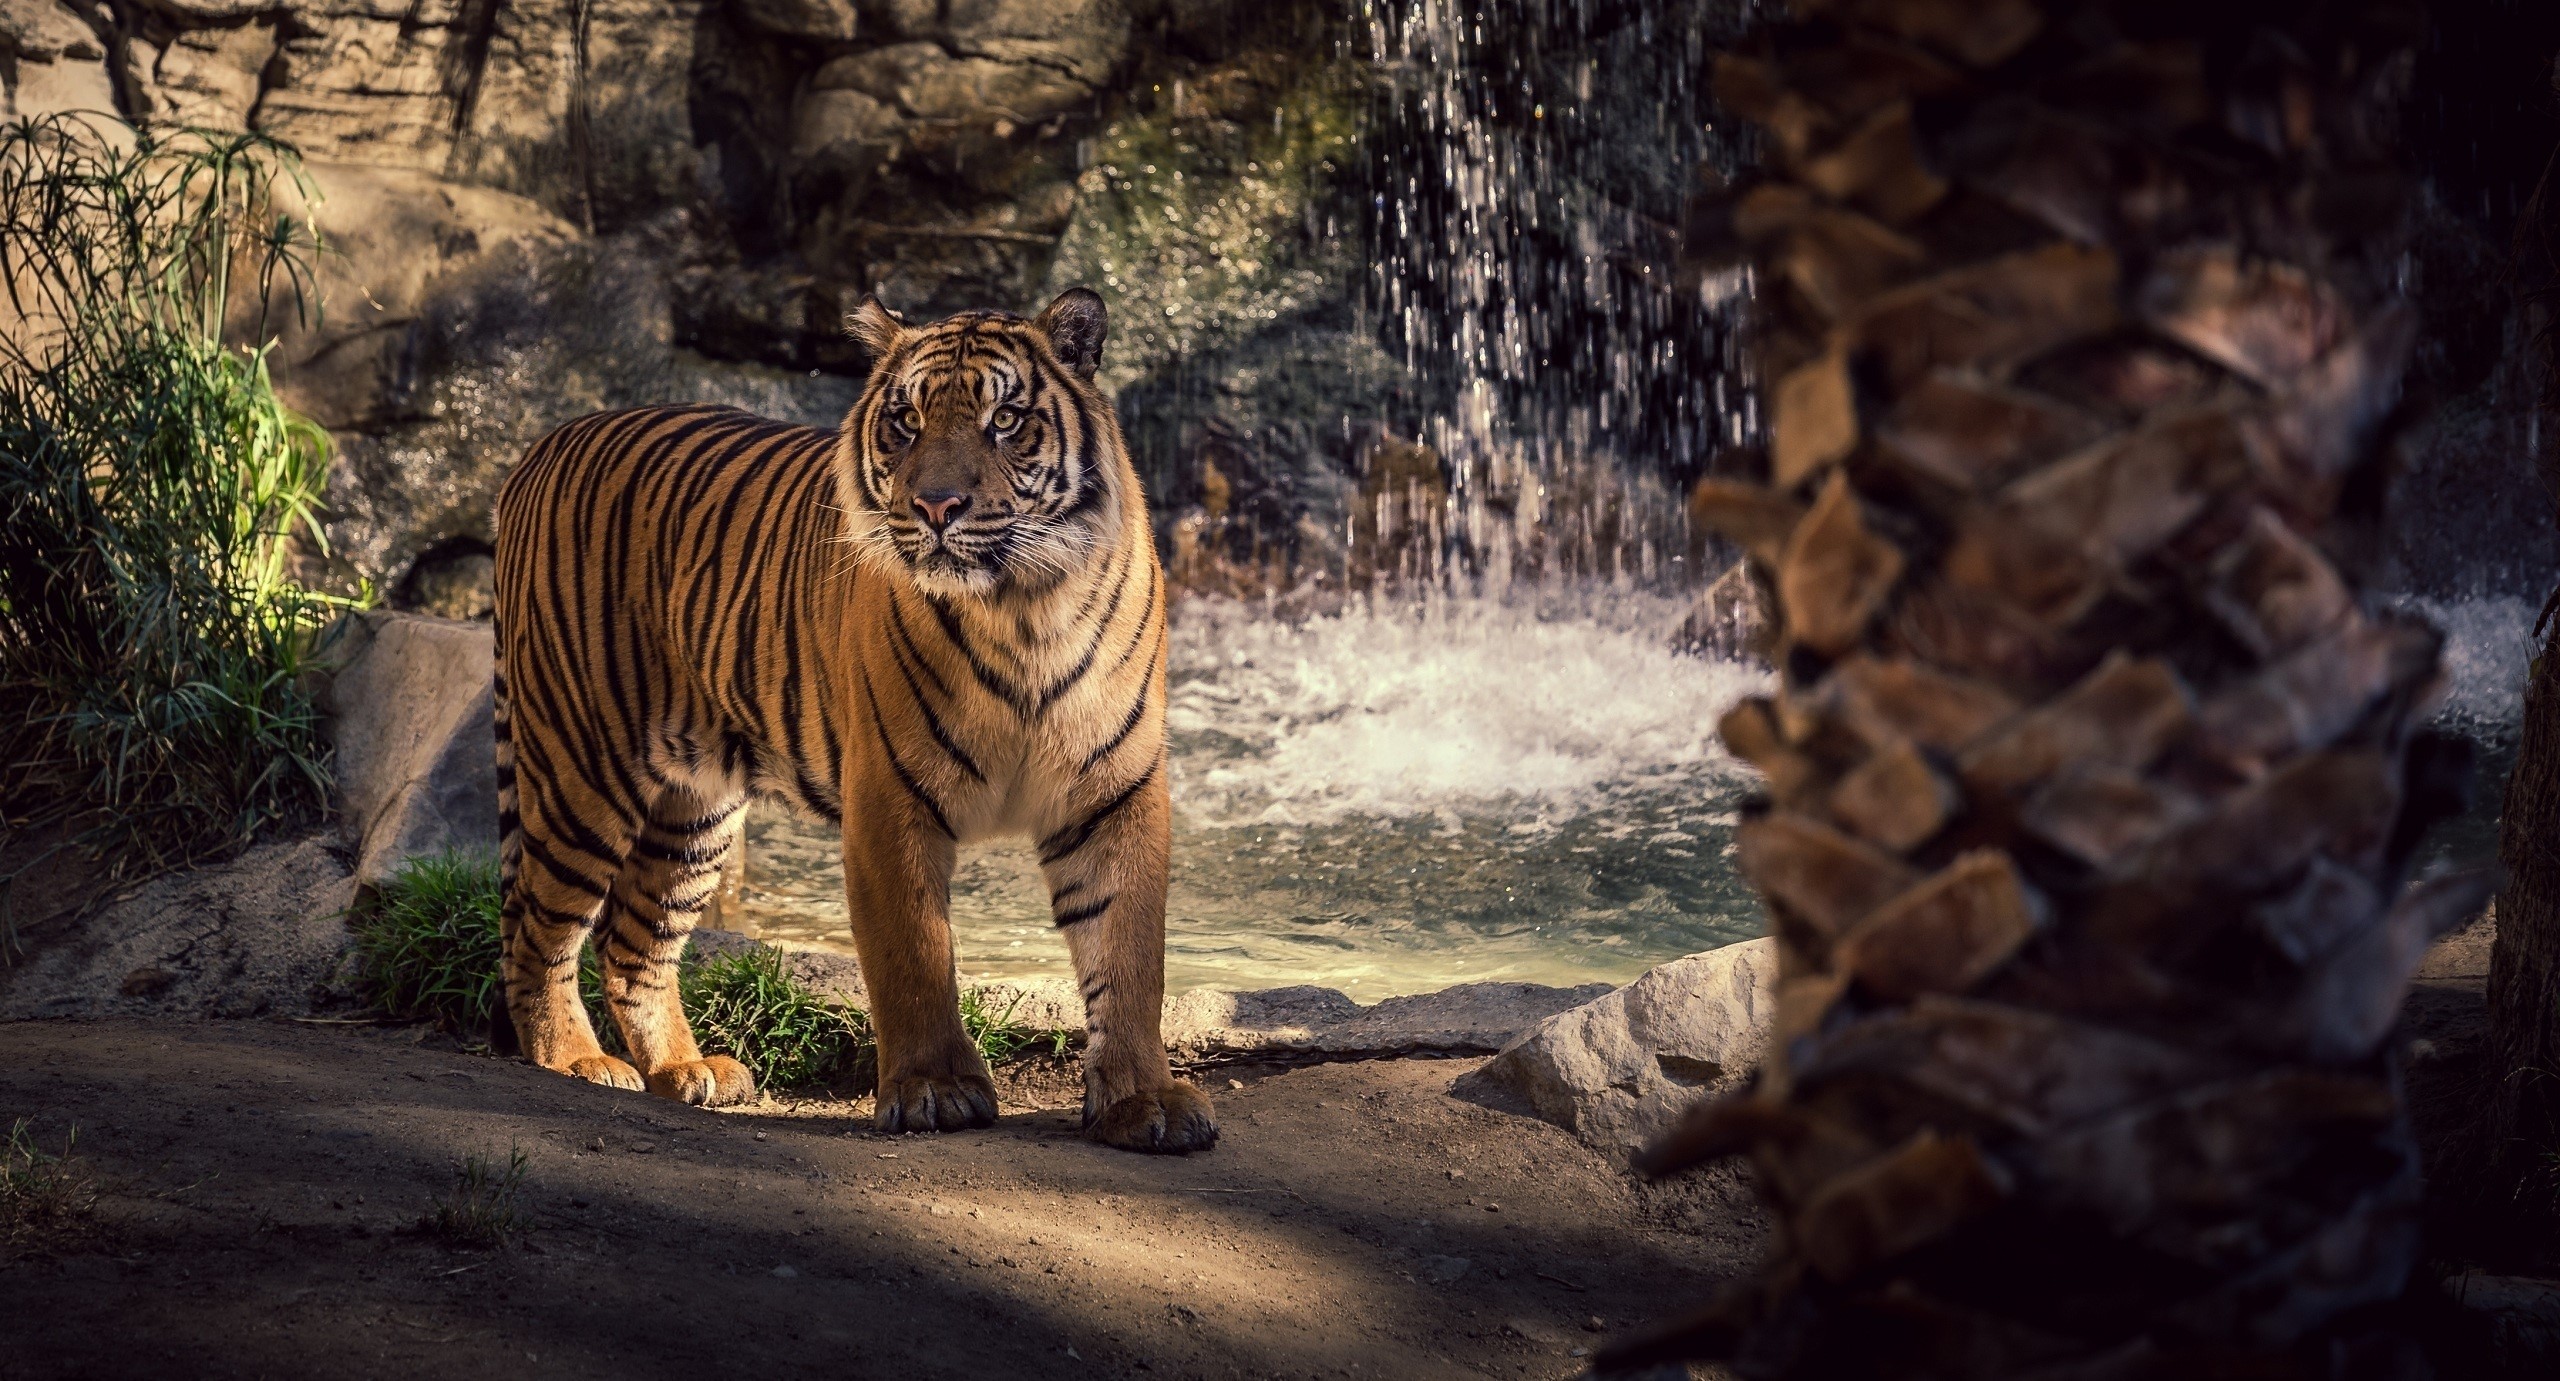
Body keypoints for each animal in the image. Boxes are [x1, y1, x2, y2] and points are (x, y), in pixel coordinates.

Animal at [488, 287, 1217, 1153]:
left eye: (1005, 419)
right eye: (905, 419)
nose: (936, 506)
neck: (1023, 610)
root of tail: (541, 445)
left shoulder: (1115, 791)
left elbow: (1130, 956)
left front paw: (1145, 1099)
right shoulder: (890, 796)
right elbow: (914, 953)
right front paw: (936, 1088)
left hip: (694, 805)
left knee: (634, 939)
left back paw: (688, 1069)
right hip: (581, 767)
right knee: (537, 928)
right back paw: (575, 1059)